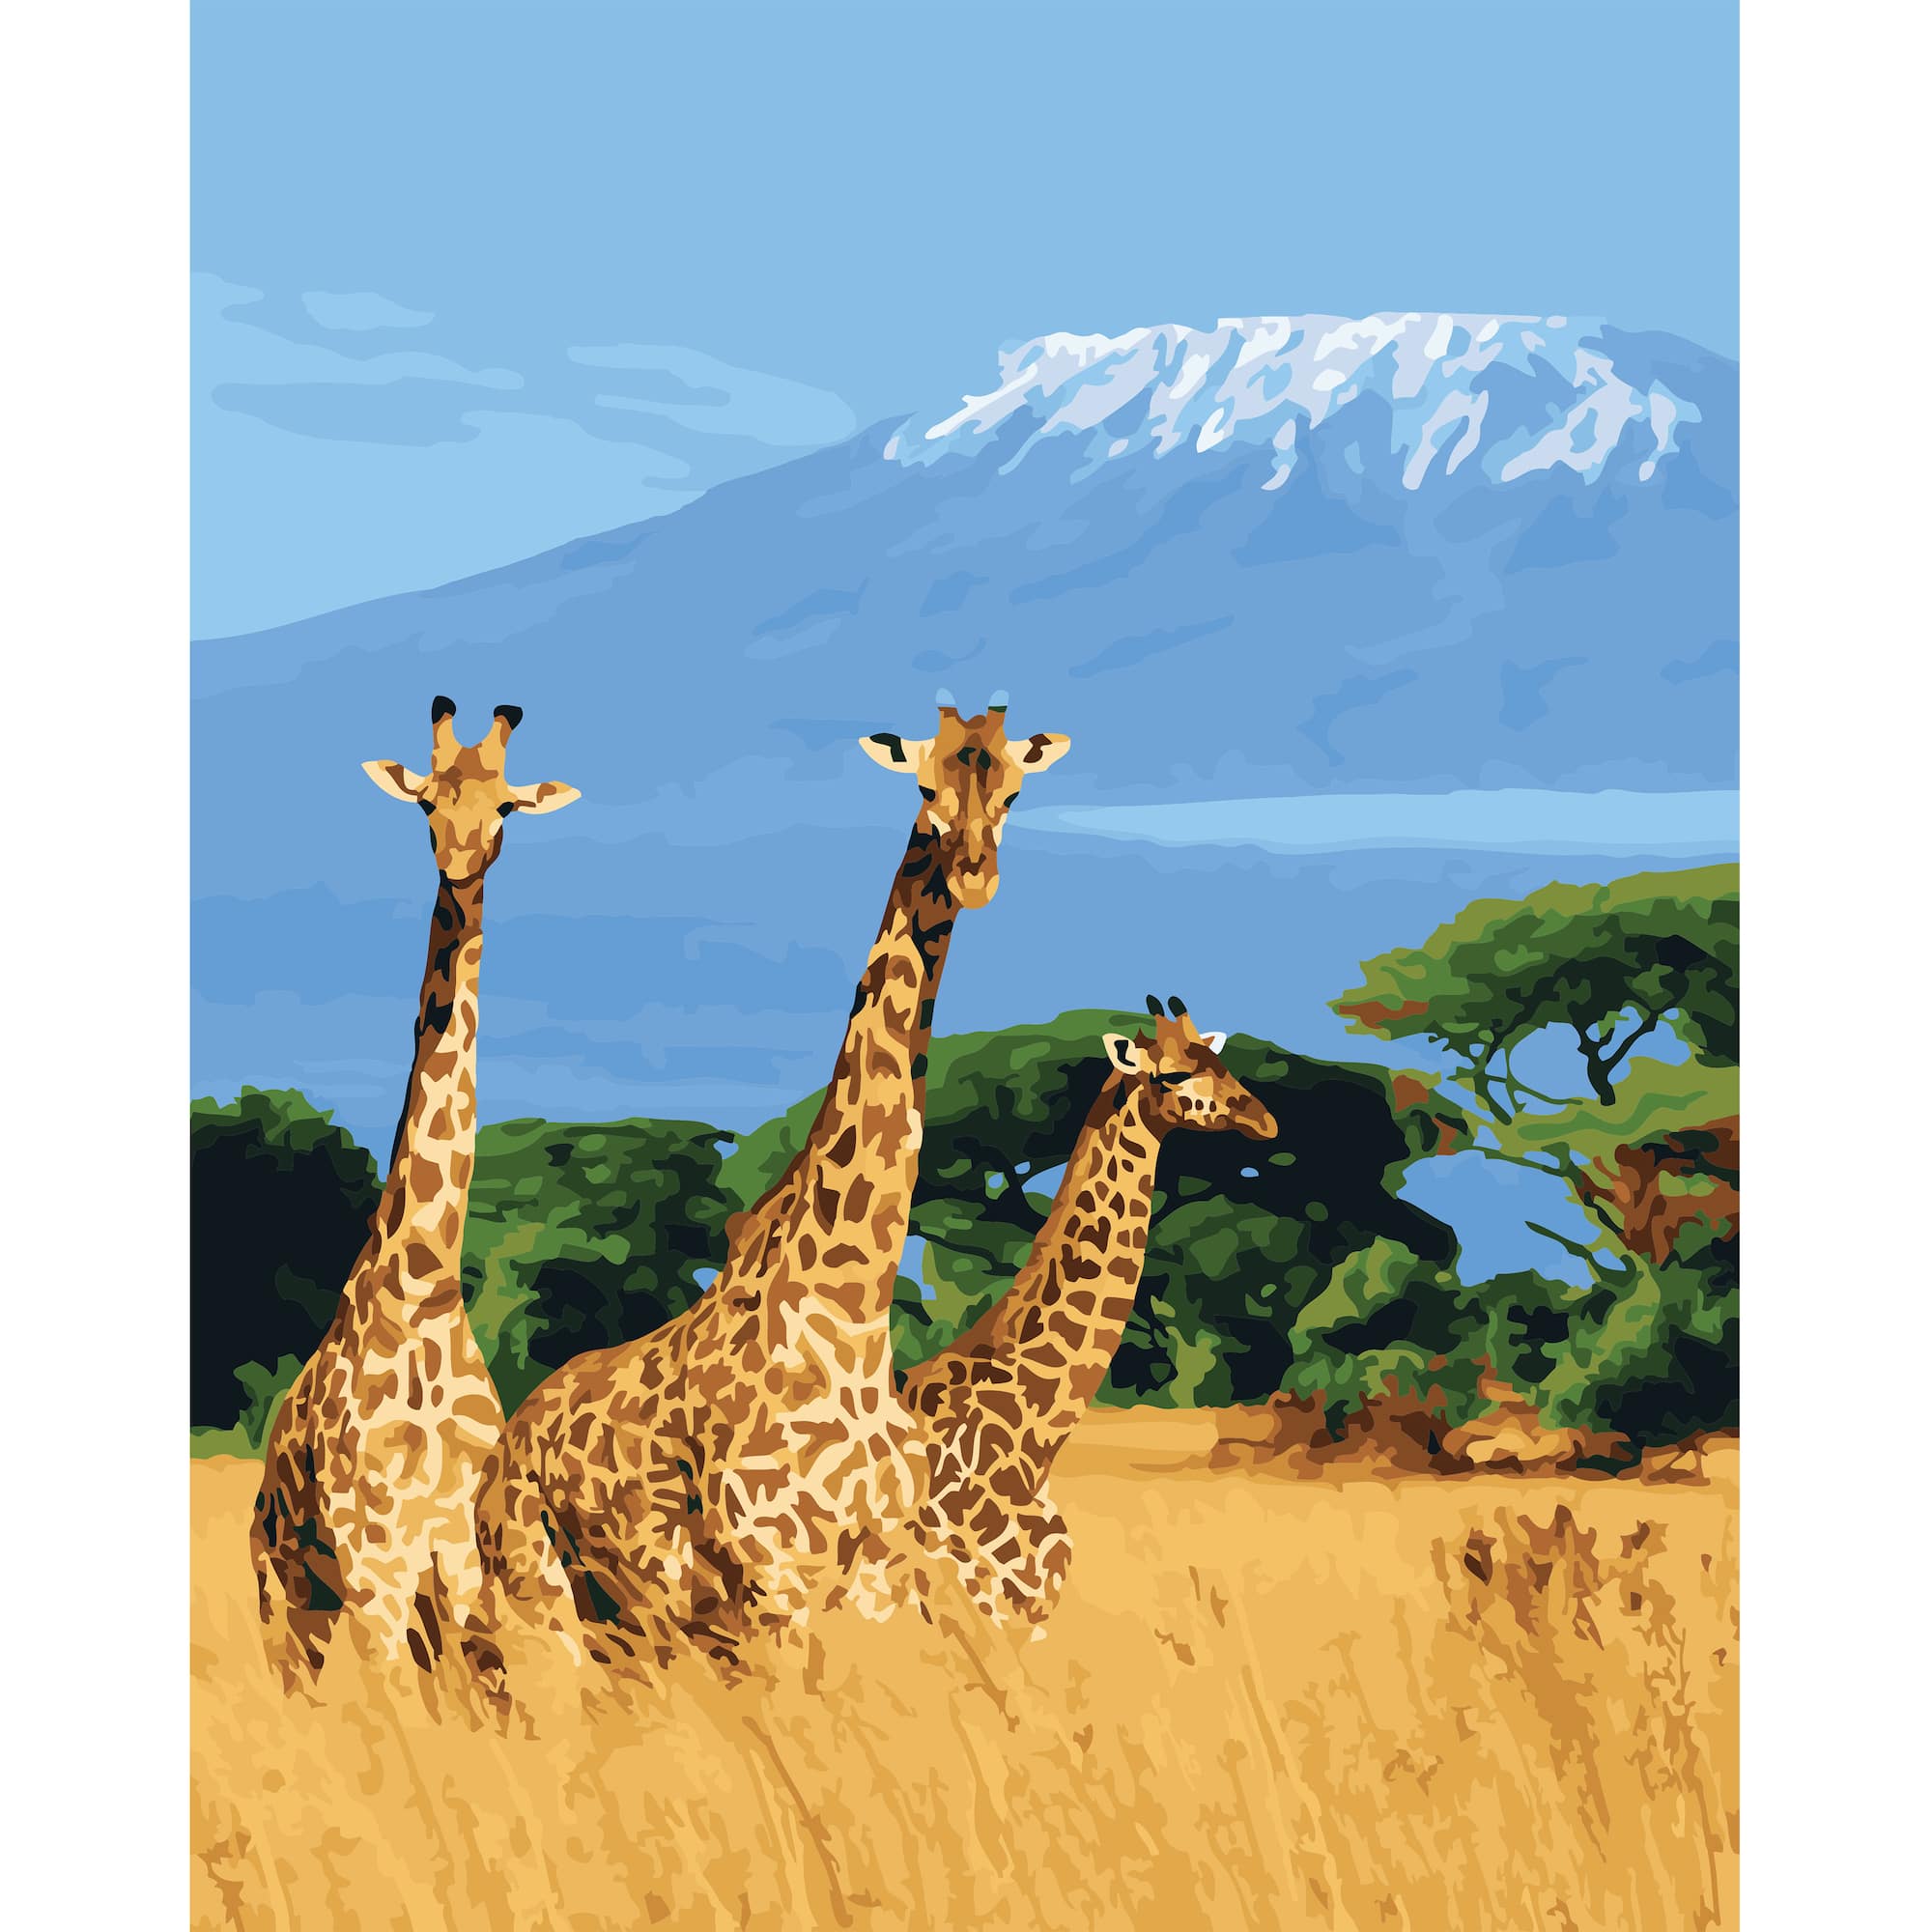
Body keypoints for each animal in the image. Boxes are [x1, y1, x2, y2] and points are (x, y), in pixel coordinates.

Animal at [250, 696, 583, 1696]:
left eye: (507, 806)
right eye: (427, 800)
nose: (460, 858)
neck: (424, 1284)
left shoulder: (457, 1563)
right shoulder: (376, 1564)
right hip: (288, 1594)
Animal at [494, 699, 1071, 1661]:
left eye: (1017, 791)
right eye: (924, 785)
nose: (975, 874)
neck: (849, 1309)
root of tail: (512, 1430)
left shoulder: (874, 1576)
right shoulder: (775, 1577)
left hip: (633, 1624)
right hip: (535, 1595)